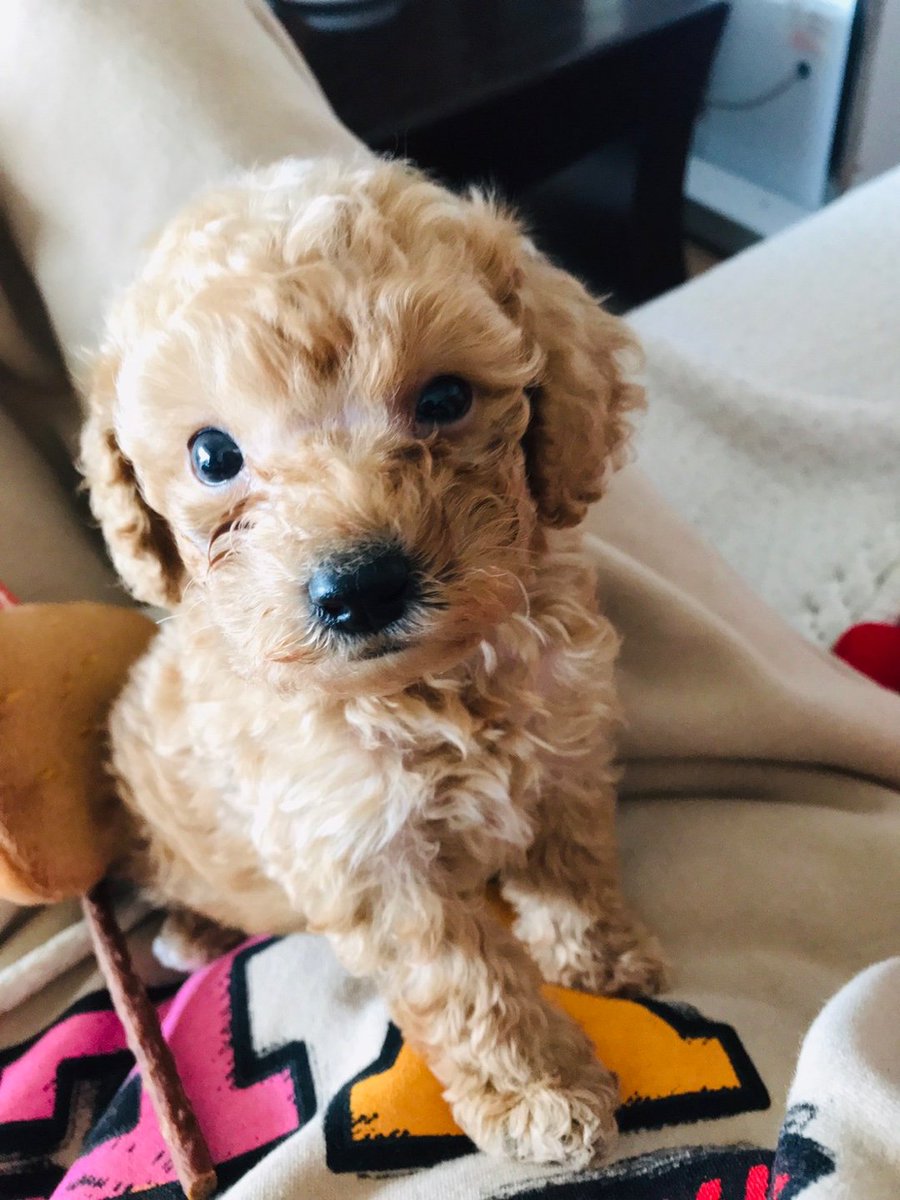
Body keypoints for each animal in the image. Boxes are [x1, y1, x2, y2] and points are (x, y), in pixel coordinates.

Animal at [80, 157, 666, 1167]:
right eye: (212, 454)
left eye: (445, 399)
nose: (360, 588)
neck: (434, 685)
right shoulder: (365, 855)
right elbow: (464, 979)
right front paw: (540, 1092)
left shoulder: (566, 745)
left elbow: (573, 861)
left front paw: (597, 953)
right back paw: (193, 928)